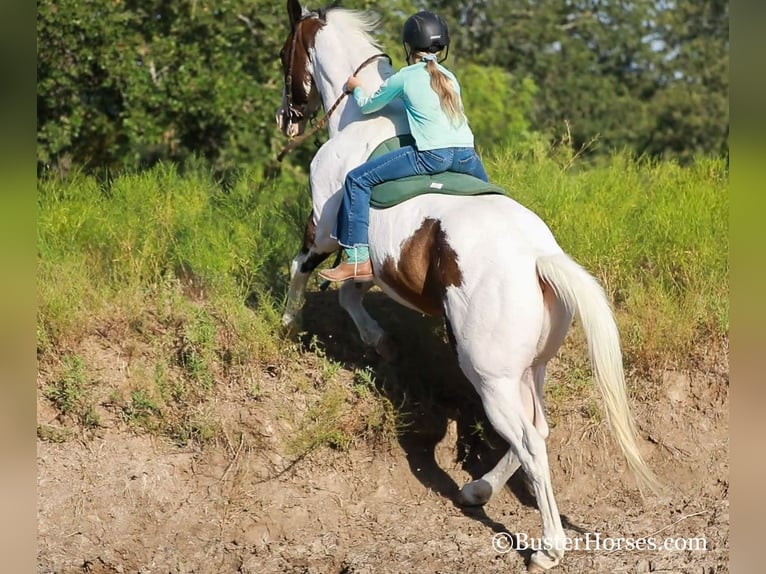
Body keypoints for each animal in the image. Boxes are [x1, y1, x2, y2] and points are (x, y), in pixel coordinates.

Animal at [274, 3, 660, 572]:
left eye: (285, 54)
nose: (287, 119)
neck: (362, 119)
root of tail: (538, 257)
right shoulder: (367, 259)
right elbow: (349, 291)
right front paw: (378, 341)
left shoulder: (323, 228)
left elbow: (306, 269)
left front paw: (288, 323)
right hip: (529, 370)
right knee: (537, 431)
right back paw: (478, 489)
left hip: (490, 376)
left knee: (529, 441)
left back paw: (547, 546)